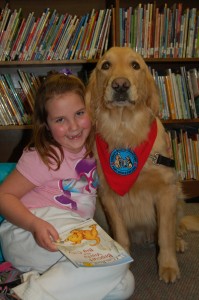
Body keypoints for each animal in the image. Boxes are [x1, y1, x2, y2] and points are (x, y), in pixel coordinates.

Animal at [85, 47, 199, 284]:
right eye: (106, 65)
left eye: (135, 65)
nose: (120, 85)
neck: (125, 131)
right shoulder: (108, 196)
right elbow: (121, 236)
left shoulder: (166, 191)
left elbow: (164, 235)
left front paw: (168, 266)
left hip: (178, 196)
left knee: (175, 228)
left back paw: (178, 241)